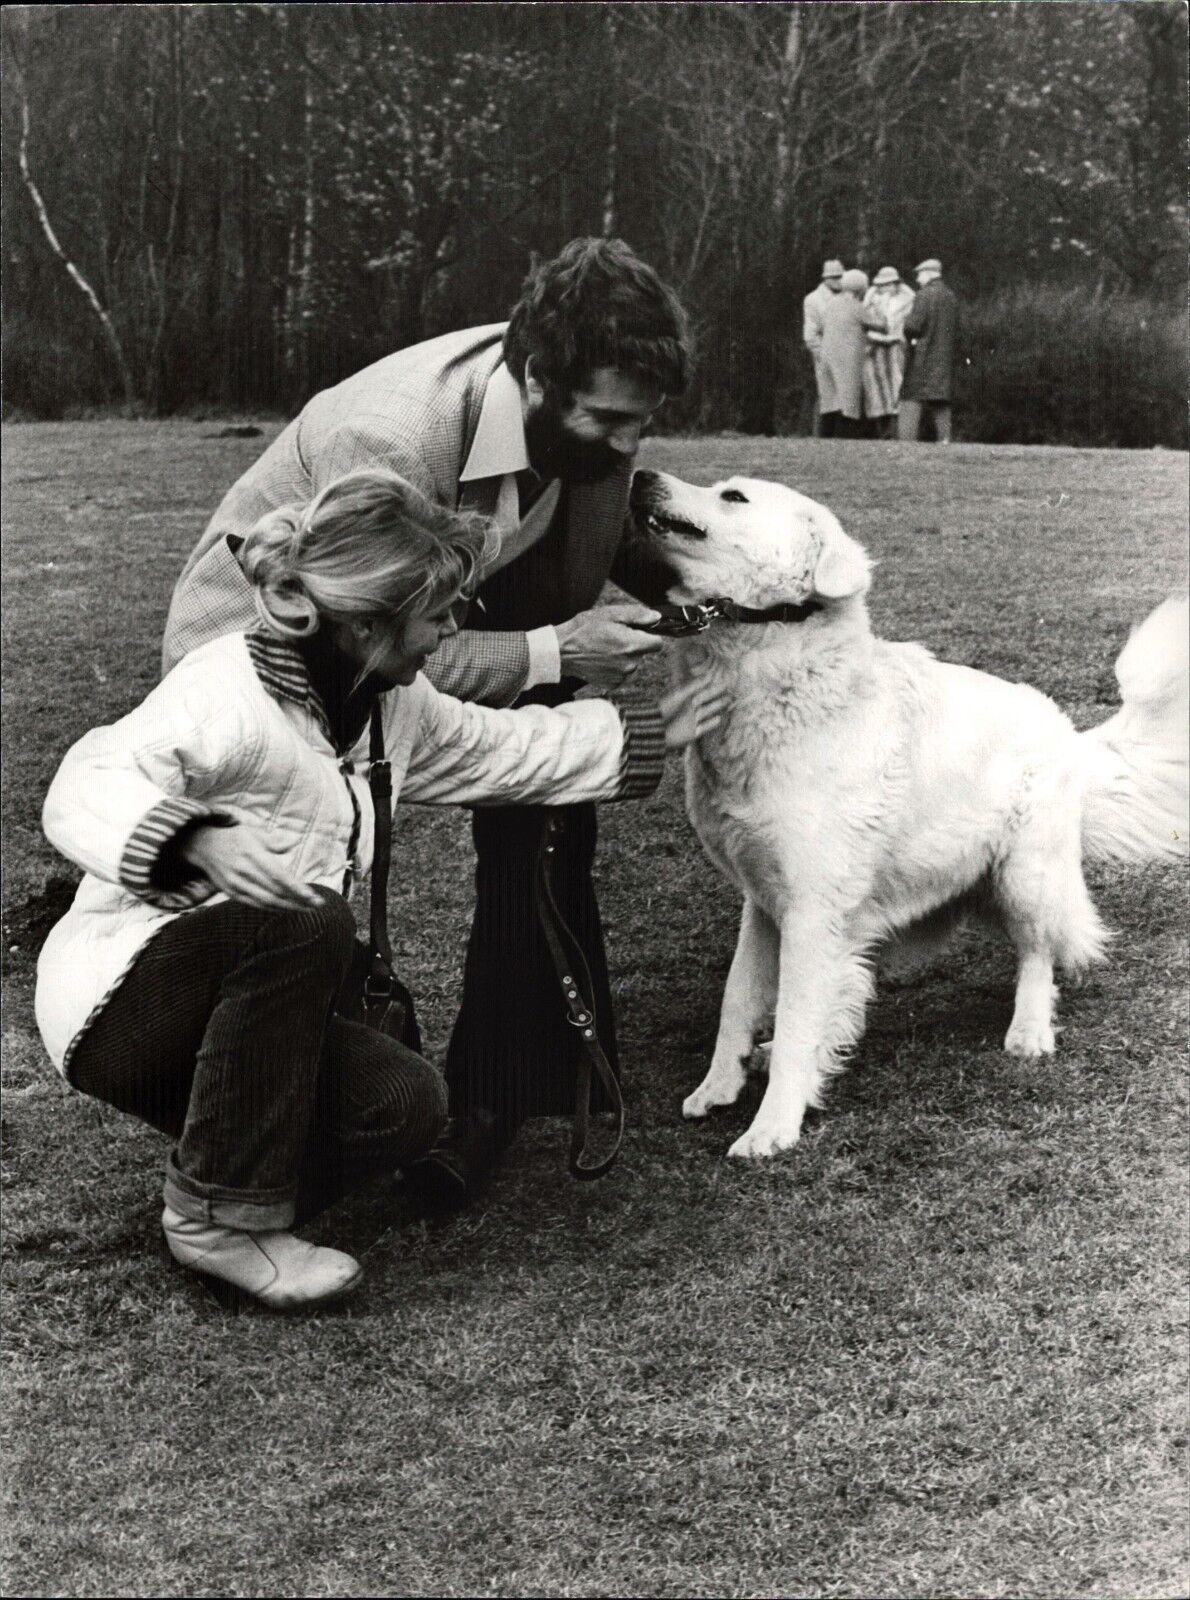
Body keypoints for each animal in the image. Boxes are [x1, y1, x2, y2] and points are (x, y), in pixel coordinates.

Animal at [617, 467, 1183, 1158]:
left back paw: (1029, 1031)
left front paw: (772, 1127)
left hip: (1024, 875)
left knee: (1038, 952)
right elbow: (738, 1000)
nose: (641, 475)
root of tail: (1066, 729)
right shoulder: (763, 901)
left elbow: (799, 1012)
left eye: (734, 497)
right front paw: (719, 1087)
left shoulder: (812, 911)